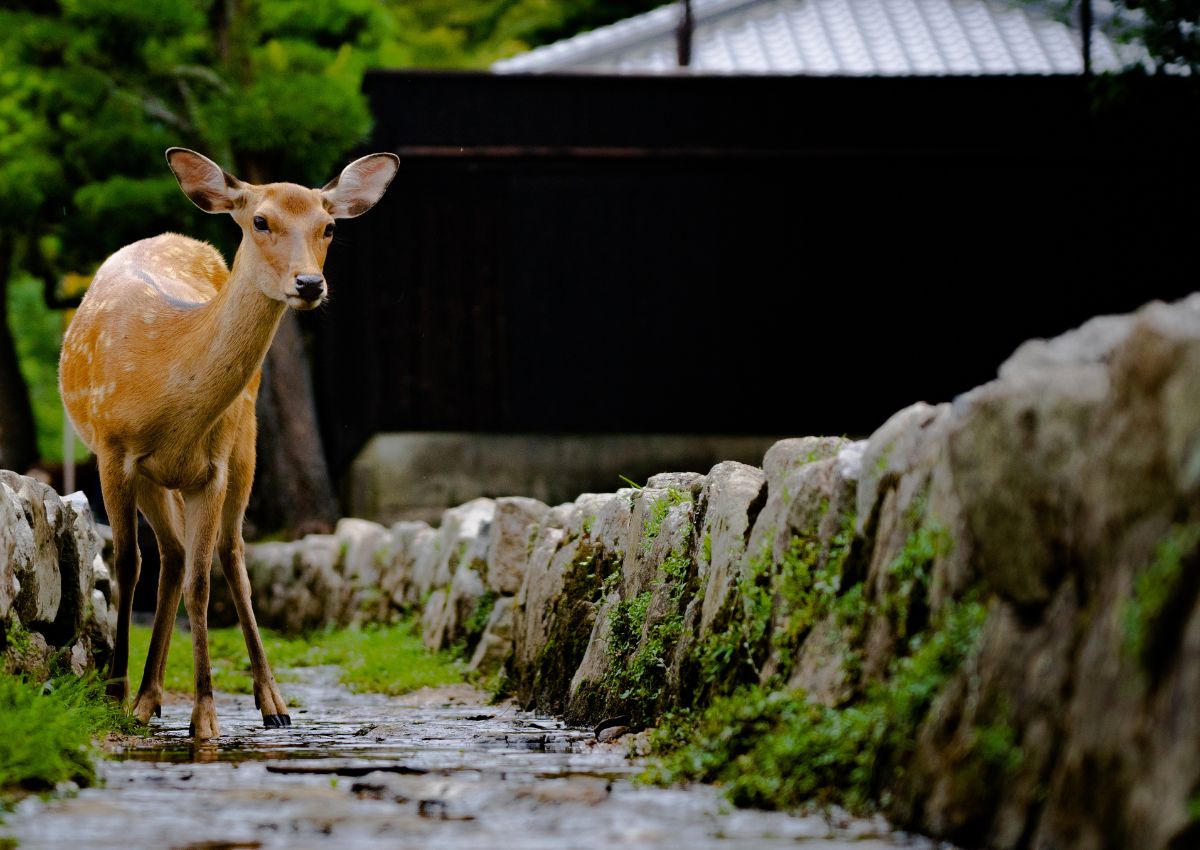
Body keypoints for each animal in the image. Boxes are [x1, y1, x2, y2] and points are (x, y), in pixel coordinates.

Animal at [60, 147, 400, 734]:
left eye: (329, 226)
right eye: (260, 221)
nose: (309, 284)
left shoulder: (212, 467)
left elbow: (204, 582)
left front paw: (205, 717)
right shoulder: (113, 450)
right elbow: (128, 565)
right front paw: (114, 692)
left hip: (245, 442)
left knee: (229, 554)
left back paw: (272, 703)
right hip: (154, 476)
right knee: (170, 556)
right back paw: (146, 697)